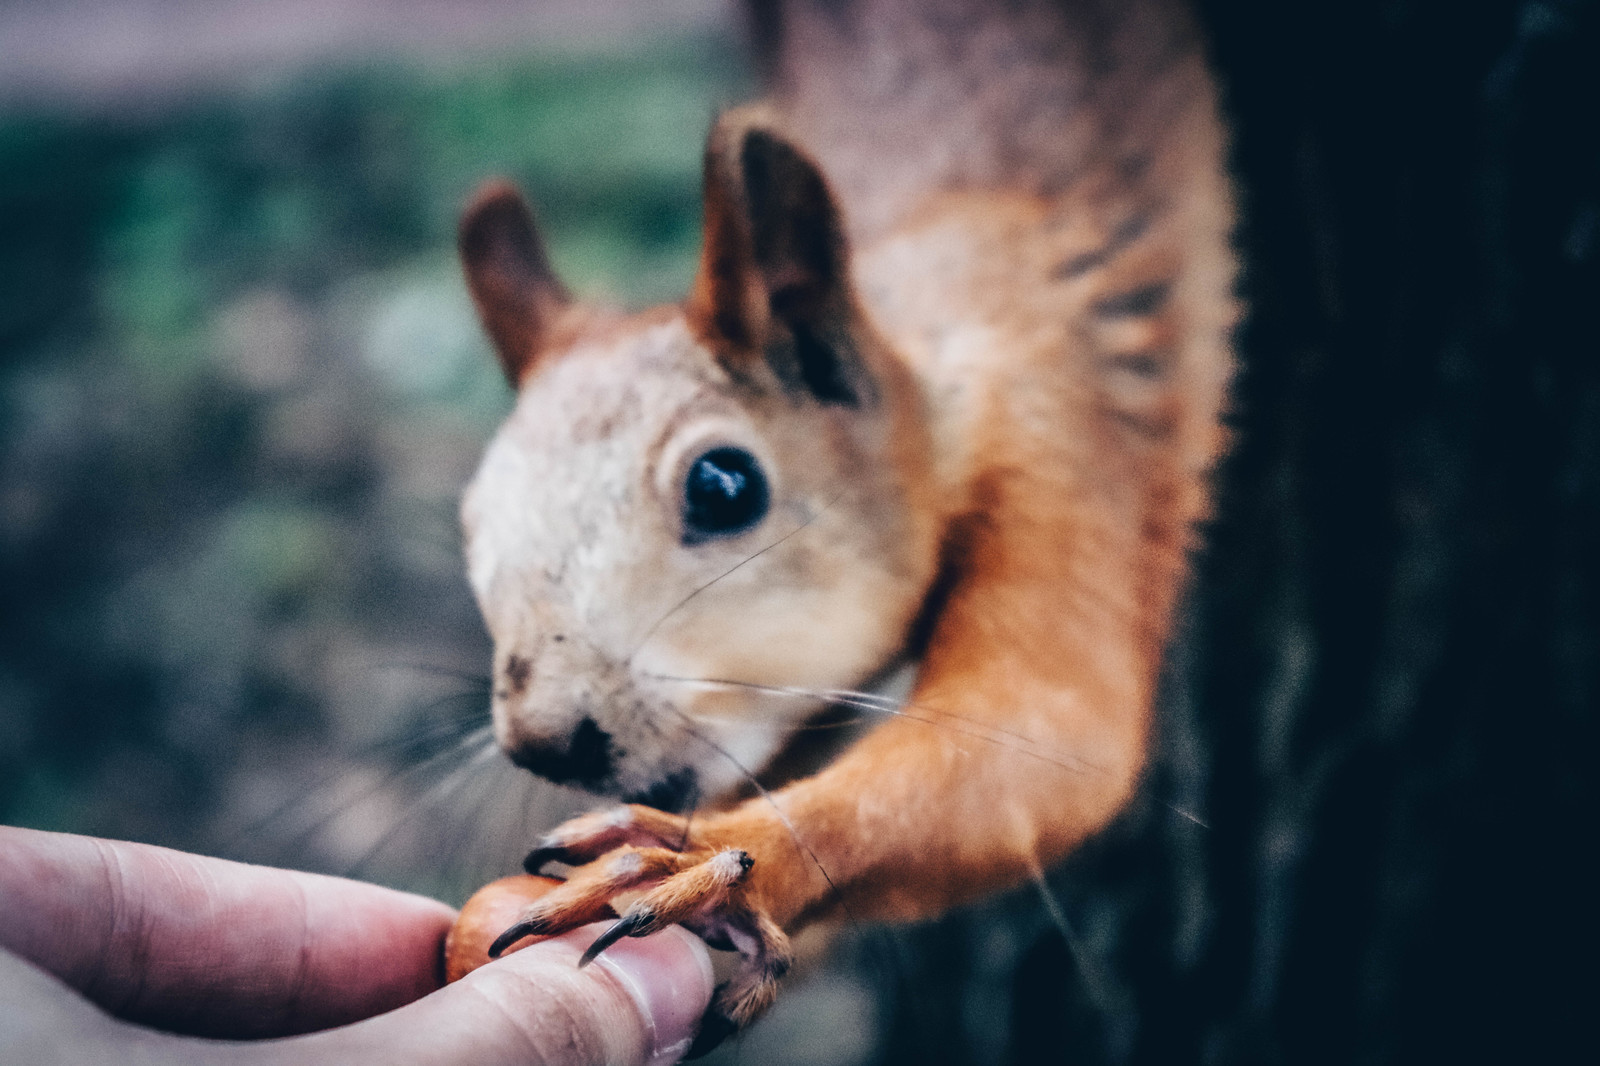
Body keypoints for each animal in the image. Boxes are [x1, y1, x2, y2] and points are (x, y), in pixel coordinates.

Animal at [451, 0, 1235, 1043]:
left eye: (724, 485)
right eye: (469, 523)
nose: (543, 741)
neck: (939, 375)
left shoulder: (1064, 436)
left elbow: (1049, 728)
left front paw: (704, 866)